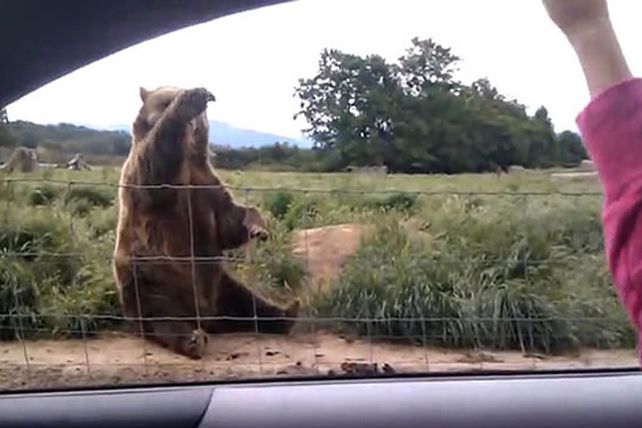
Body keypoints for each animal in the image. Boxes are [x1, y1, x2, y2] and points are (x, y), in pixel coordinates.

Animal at [113, 86, 299, 359]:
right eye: (165, 101)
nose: (193, 123)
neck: (187, 156)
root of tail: (203, 314)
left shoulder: (206, 182)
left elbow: (228, 221)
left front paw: (257, 227)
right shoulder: (147, 180)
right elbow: (154, 168)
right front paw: (194, 98)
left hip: (220, 284)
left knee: (247, 302)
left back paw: (287, 313)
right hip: (150, 278)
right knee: (161, 316)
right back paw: (192, 340)